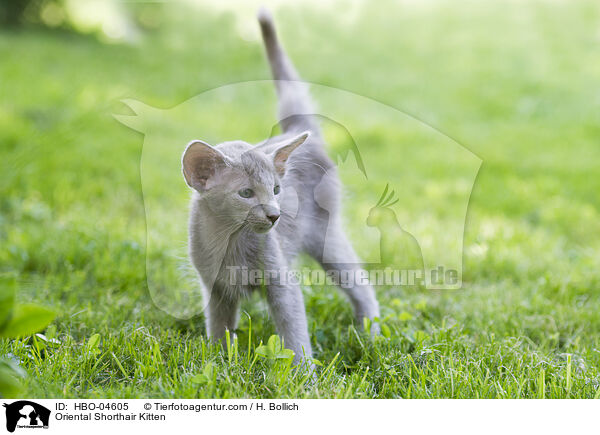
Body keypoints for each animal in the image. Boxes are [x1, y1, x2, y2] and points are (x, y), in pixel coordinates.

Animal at [182, 8, 380, 366]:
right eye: (246, 193)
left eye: (276, 190)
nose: (275, 215)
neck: (231, 244)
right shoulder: (216, 288)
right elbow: (219, 328)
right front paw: (219, 362)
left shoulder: (280, 281)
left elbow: (294, 330)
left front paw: (304, 373)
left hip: (326, 237)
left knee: (362, 285)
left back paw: (370, 336)